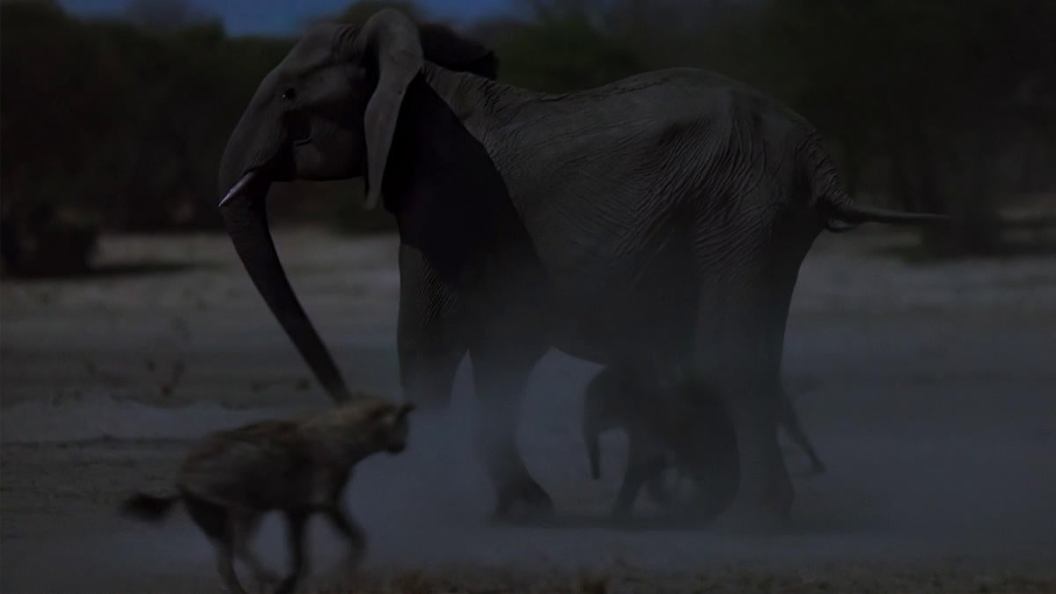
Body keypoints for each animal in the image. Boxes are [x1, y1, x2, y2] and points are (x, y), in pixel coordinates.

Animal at [216, 9, 945, 525]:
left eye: (289, 94)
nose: (349, 404)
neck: (422, 75)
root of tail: (817, 159)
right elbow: (501, 357)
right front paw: (522, 510)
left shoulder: (443, 199)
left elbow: (429, 342)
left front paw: (434, 505)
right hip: (762, 218)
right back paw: (710, 507)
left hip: (744, 208)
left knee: (730, 355)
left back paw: (747, 520)